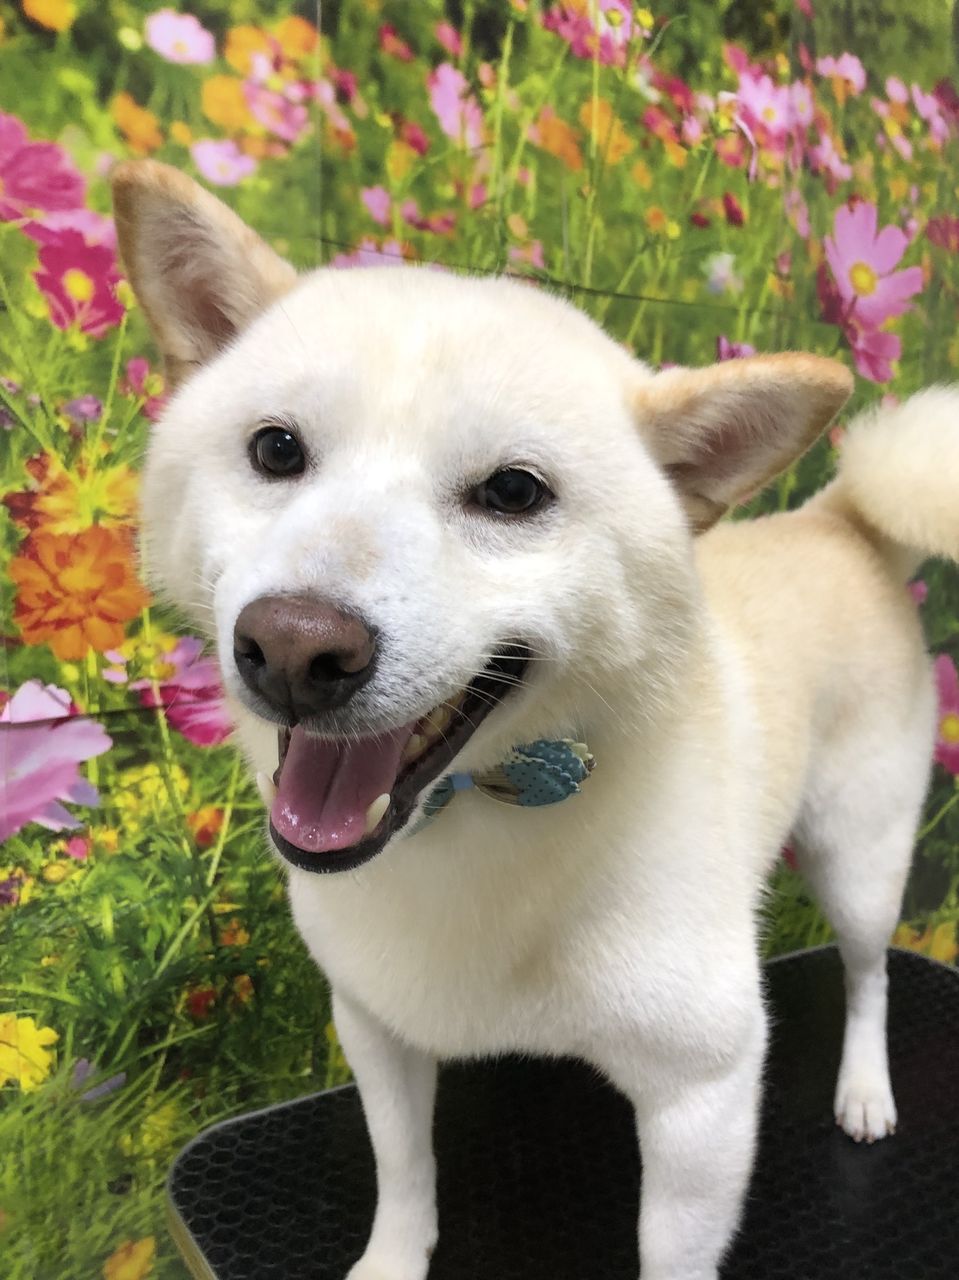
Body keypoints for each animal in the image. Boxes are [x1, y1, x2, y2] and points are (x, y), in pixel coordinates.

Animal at [113, 159, 958, 1280]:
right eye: (275, 449)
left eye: (513, 493)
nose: (294, 648)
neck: (472, 823)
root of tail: (840, 524)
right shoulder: (374, 1018)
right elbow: (403, 1169)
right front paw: (393, 1256)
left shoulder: (702, 1093)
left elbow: (668, 1253)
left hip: (857, 857)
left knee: (867, 975)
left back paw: (863, 1087)